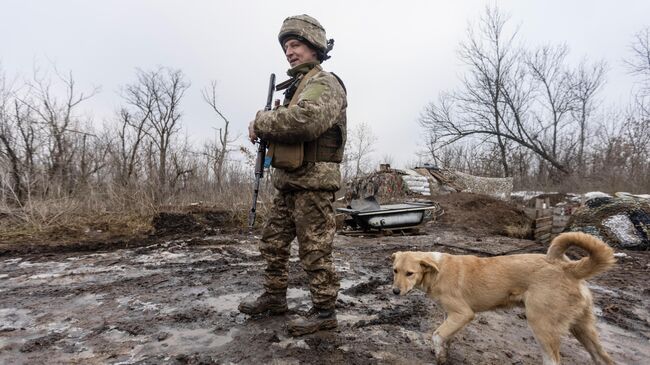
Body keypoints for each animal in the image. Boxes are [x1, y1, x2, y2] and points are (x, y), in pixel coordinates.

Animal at [390, 232, 612, 362]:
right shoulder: (451, 316)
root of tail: (568, 267)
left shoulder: (463, 314)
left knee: (554, 360)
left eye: (409, 273)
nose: (395, 292)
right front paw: (444, 355)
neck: (436, 270)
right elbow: (445, 338)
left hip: (541, 325)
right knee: (603, 358)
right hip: (583, 328)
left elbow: (437, 335)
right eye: (395, 271)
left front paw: (439, 356)